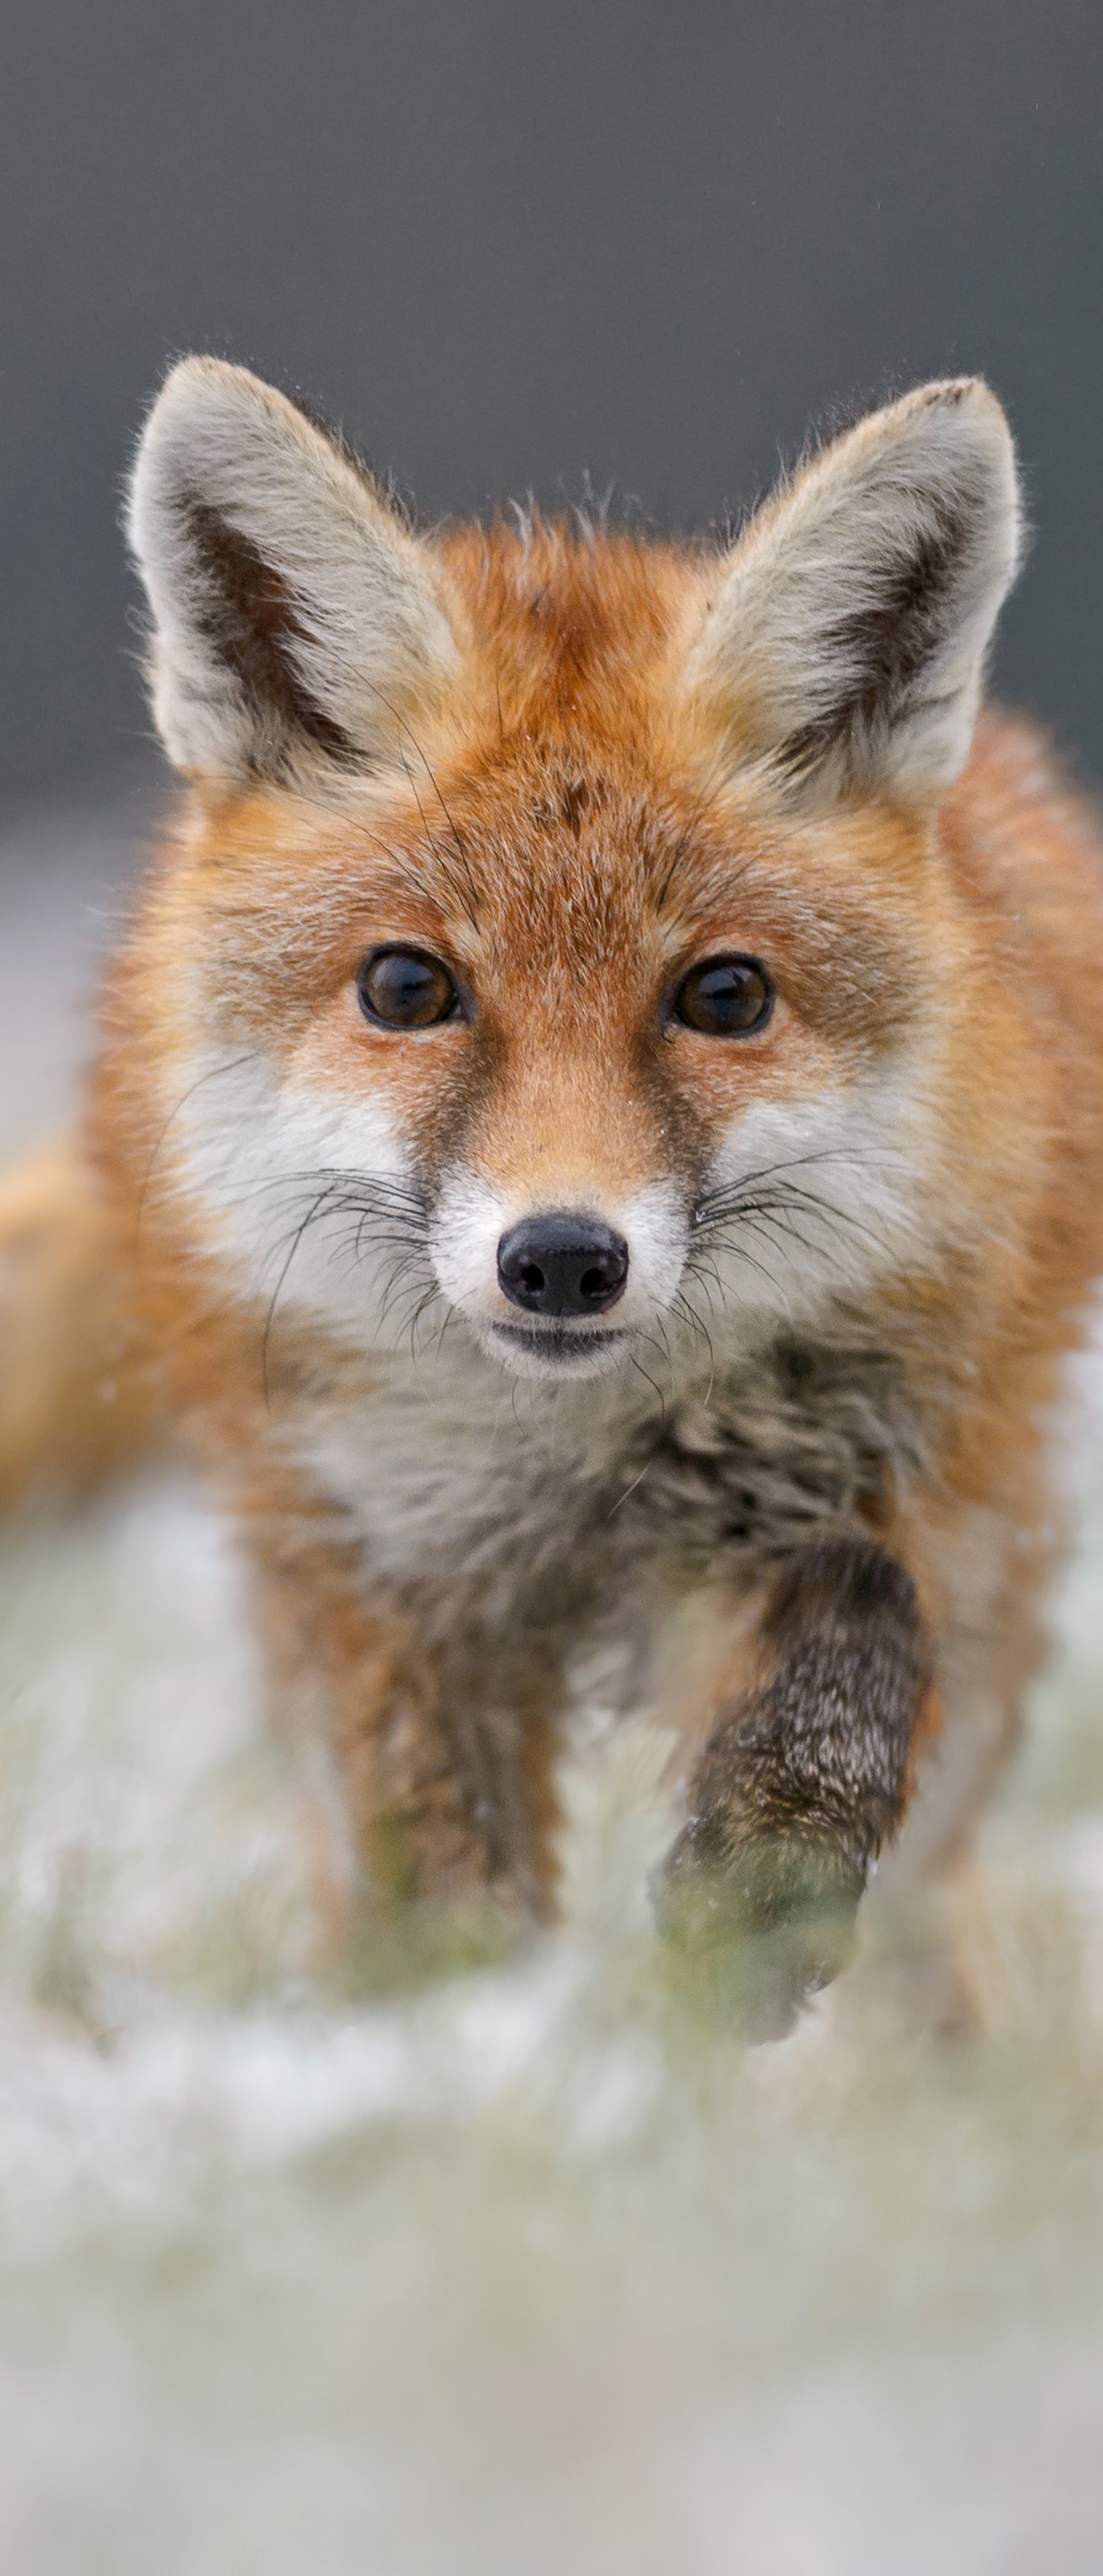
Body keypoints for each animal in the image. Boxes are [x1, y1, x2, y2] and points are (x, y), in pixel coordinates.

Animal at [3, 357, 1103, 2036]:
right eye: (408, 987)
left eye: (725, 995)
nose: (567, 1259)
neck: (574, 1467)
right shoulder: (384, 1574)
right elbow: (438, 1881)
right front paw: (455, 2040)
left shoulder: (887, 1474)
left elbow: (858, 1625)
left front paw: (753, 1892)